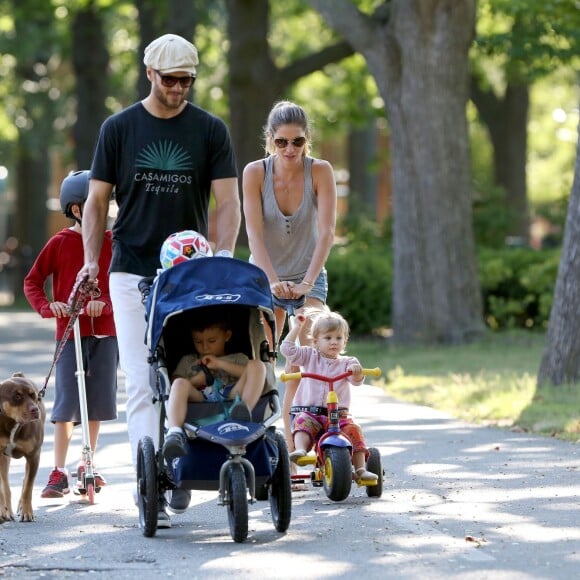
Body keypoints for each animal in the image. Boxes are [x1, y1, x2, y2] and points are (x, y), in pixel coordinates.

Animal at [0, 374, 45, 524]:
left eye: (33, 395)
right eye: (17, 396)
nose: (35, 409)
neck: (12, 423)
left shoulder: (33, 456)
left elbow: (28, 488)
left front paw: (27, 512)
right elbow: (3, 489)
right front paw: (3, 512)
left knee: (25, 481)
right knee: (6, 484)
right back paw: (7, 511)